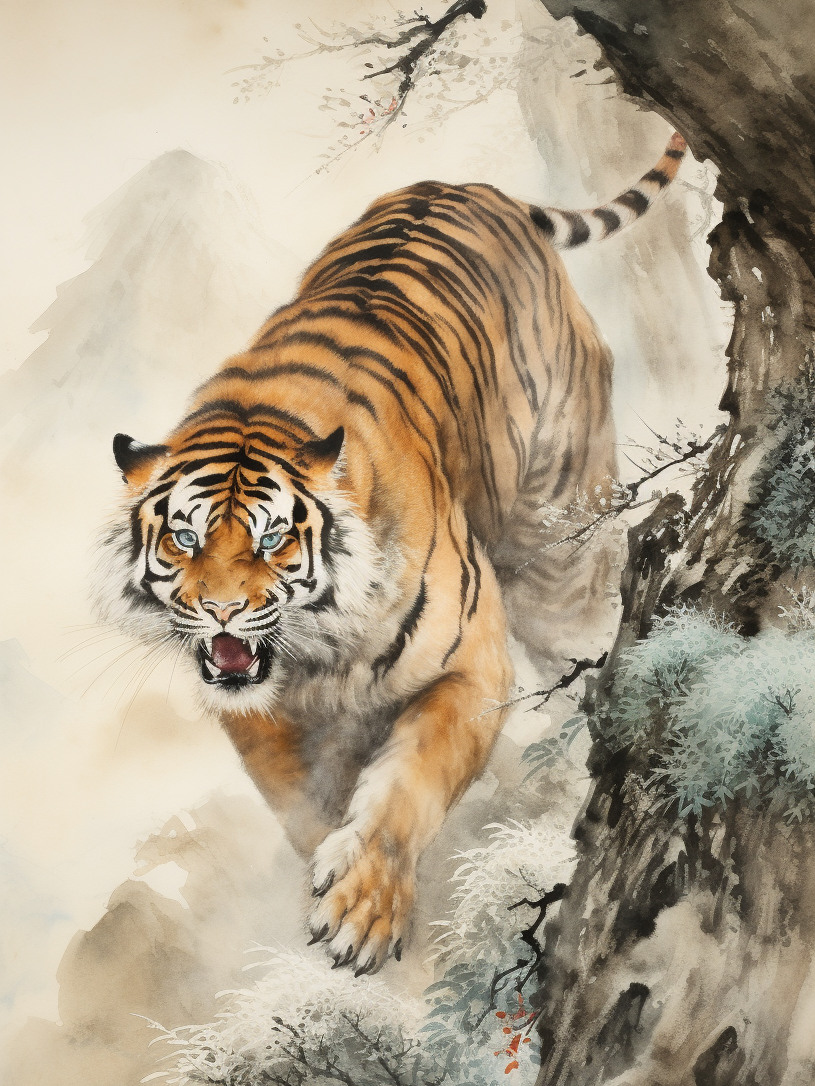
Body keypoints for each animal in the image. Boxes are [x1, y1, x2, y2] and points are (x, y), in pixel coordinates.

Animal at [98, 132, 687, 975]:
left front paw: (363, 907)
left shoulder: (473, 667)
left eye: (273, 538)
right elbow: (305, 803)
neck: (318, 657)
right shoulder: (261, 719)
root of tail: (470, 187)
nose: (221, 613)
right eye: (184, 537)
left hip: (558, 552)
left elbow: (408, 782)